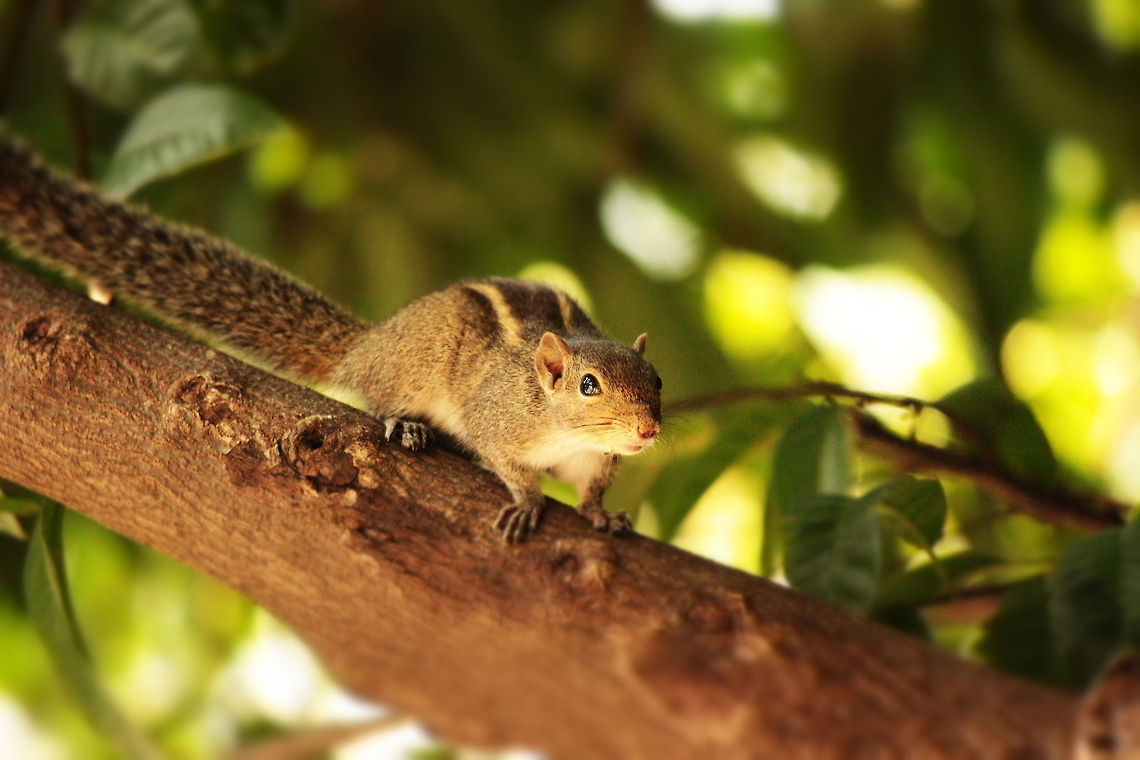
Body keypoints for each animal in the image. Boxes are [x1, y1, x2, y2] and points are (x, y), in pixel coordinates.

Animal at [0, 134, 662, 543]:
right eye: (588, 385)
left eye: (656, 380)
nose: (649, 430)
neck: (562, 429)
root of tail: (370, 344)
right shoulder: (497, 418)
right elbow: (503, 459)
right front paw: (526, 502)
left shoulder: (593, 459)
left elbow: (594, 488)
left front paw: (602, 515)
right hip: (414, 366)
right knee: (383, 396)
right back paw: (406, 424)